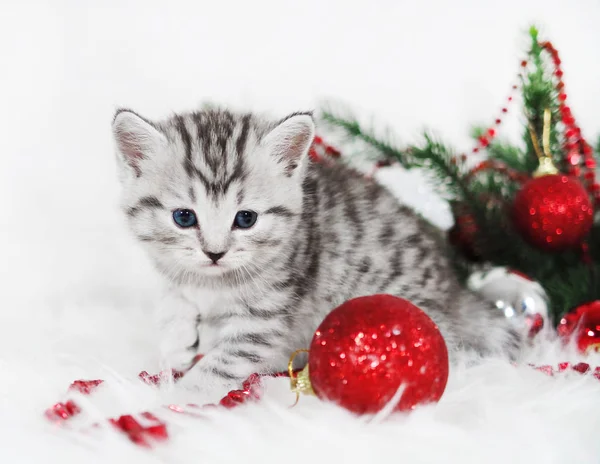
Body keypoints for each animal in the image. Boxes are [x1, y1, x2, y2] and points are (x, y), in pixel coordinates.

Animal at [111, 109, 520, 398]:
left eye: (245, 218)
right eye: (184, 217)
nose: (215, 253)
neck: (213, 282)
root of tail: (454, 291)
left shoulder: (263, 321)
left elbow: (223, 364)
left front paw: (174, 400)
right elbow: (174, 299)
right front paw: (177, 340)